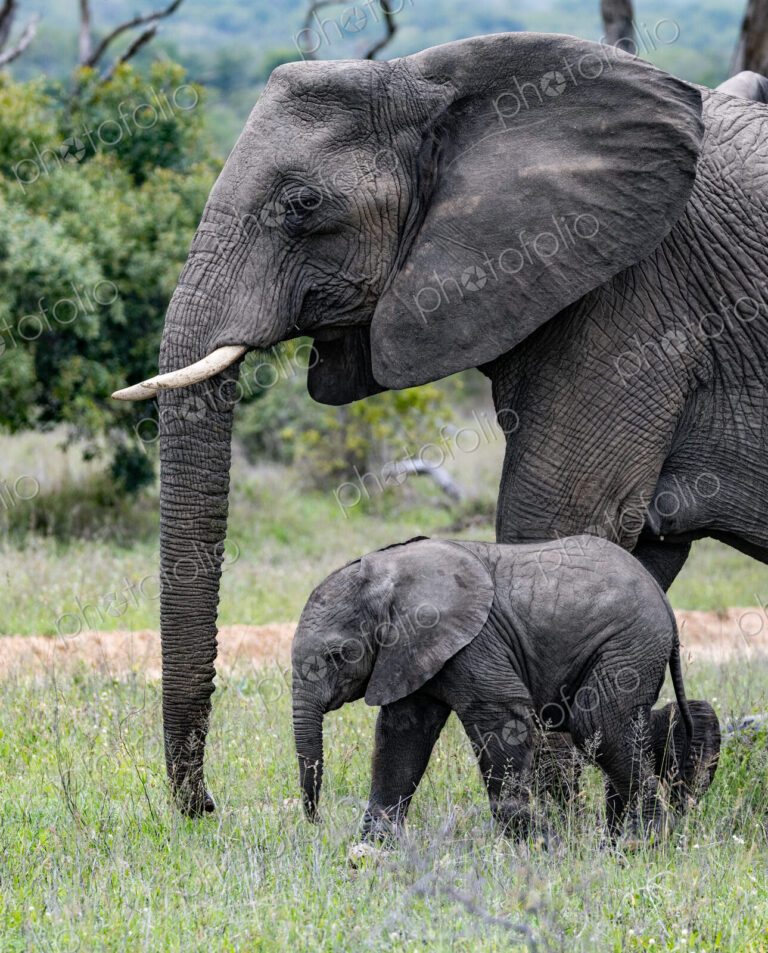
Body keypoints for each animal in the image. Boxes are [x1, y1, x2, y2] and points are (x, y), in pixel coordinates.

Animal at [291, 535, 719, 839]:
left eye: (339, 655)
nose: (316, 822)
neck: (390, 574)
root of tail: (663, 601)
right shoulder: (410, 652)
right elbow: (402, 734)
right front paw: (371, 850)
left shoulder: (475, 642)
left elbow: (502, 720)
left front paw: (541, 845)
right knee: (621, 727)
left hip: (626, 642)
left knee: (598, 725)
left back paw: (641, 842)